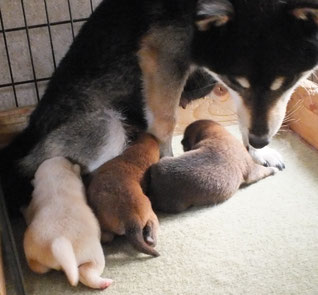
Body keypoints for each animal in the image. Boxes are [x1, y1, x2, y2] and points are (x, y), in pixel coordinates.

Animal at [22, 157, 112, 290]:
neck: (54, 180)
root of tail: (59, 241)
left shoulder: (31, 206)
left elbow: (27, 213)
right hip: (94, 256)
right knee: (86, 273)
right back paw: (104, 283)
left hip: (32, 254)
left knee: (38, 268)